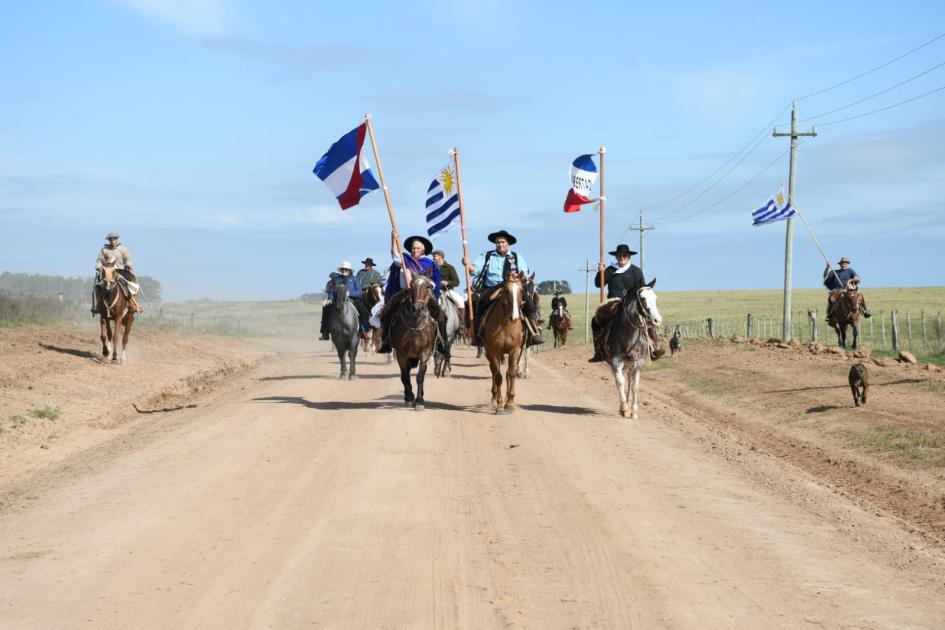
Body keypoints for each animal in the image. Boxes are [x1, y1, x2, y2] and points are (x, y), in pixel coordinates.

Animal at [388, 274, 438, 412]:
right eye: (411, 285)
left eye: (428, 286)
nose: (418, 308)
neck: (414, 326)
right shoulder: (401, 354)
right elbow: (405, 377)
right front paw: (410, 398)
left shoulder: (425, 353)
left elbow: (420, 377)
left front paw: (420, 401)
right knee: (405, 375)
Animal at [484, 272, 528, 414]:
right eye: (506, 290)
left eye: (521, 291)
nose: (514, 317)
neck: (505, 325)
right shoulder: (494, 352)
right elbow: (498, 376)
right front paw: (500, 403)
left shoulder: (515, 350)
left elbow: (512, 373)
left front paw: (509, 402)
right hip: (489, 353)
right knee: (493, 371)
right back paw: (494, 397)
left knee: (508, 373)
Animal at [596, 282, 664, 420]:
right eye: (643, 298)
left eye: (655, 297)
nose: (657, 320)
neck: (628, 334)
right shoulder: (616, 361)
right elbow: (620, 382)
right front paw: (625, 409)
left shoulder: (638, 363)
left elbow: (635, 386)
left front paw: (634, 411)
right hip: (615, 364)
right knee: (619, 381)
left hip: (630, 365)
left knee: (630, 380)